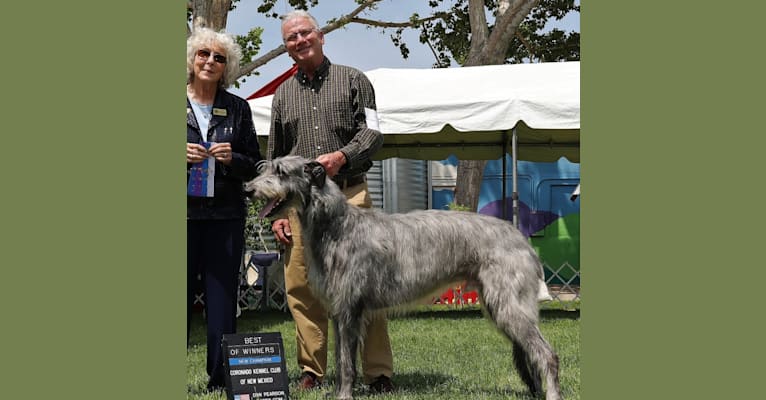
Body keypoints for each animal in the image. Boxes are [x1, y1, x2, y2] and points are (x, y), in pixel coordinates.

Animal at [246, 156, 564, 400]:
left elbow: (347, 363)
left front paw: (344, 395)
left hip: (509, 304)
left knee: (547, 353)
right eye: (266, 167)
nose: (247, 188)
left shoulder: (350, 310)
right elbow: (340, 357)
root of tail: (521, 238)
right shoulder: (339, 312)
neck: (337, 225)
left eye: (280, 171)